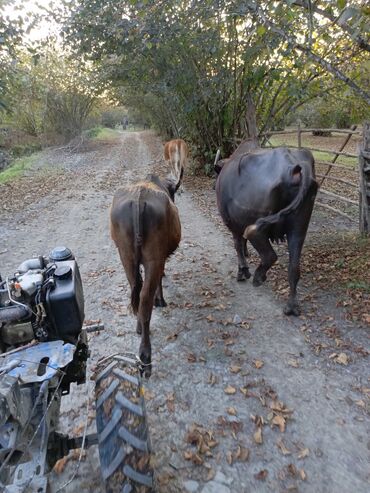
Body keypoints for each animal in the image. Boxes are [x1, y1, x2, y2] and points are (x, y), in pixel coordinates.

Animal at [110, 174, 181, 376]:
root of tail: (138, 198)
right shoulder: (161, 259)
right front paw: (161, 300)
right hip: (153, 258)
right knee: (145, 298)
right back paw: (145, 356)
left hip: (125, 256)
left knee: (137, 291)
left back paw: (139, 327)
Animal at [217, 146, 318, 316]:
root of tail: (292, 167)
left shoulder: (232, 224)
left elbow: (238, 245)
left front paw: (242, 272)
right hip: (299, 226)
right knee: (294, 267)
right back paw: (292, 306)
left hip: (259, 225)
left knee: (266, 251)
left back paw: (258, 277)